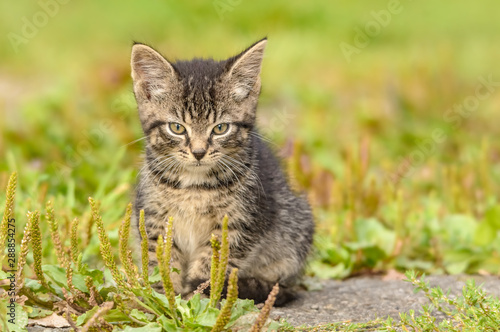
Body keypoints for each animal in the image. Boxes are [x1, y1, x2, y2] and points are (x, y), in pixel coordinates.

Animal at [131, 39, 314, 306]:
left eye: (220, 128)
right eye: (177, 128)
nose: (198, 152)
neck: (194, 187)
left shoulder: (241, 223)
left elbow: (212, 264)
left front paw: (197, 298)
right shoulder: (154, 217)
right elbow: (162, 259)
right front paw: (163, 296)